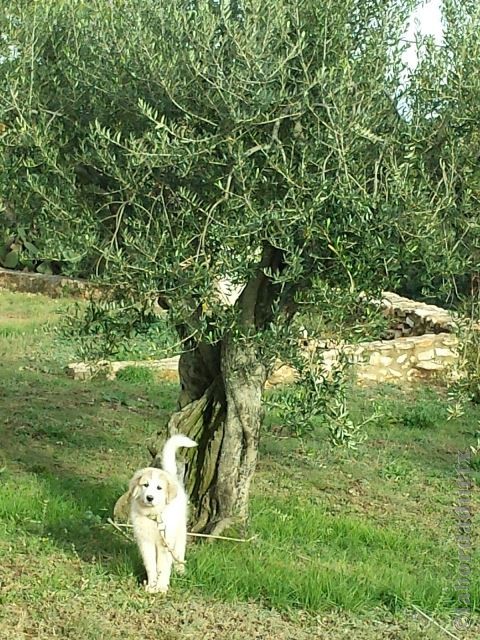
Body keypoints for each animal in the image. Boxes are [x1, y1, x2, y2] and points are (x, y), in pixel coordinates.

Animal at [127, 436, 197, 596]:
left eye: (159, 488)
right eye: (145, 485)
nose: (150, 498)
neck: (153, 517)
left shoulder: (165, 542)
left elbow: (163, 566)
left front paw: (161, 586)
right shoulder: (145, 542)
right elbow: (151, 565)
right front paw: (152, 585)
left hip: (180, 531)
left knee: (179, 551)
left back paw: (180, 569)